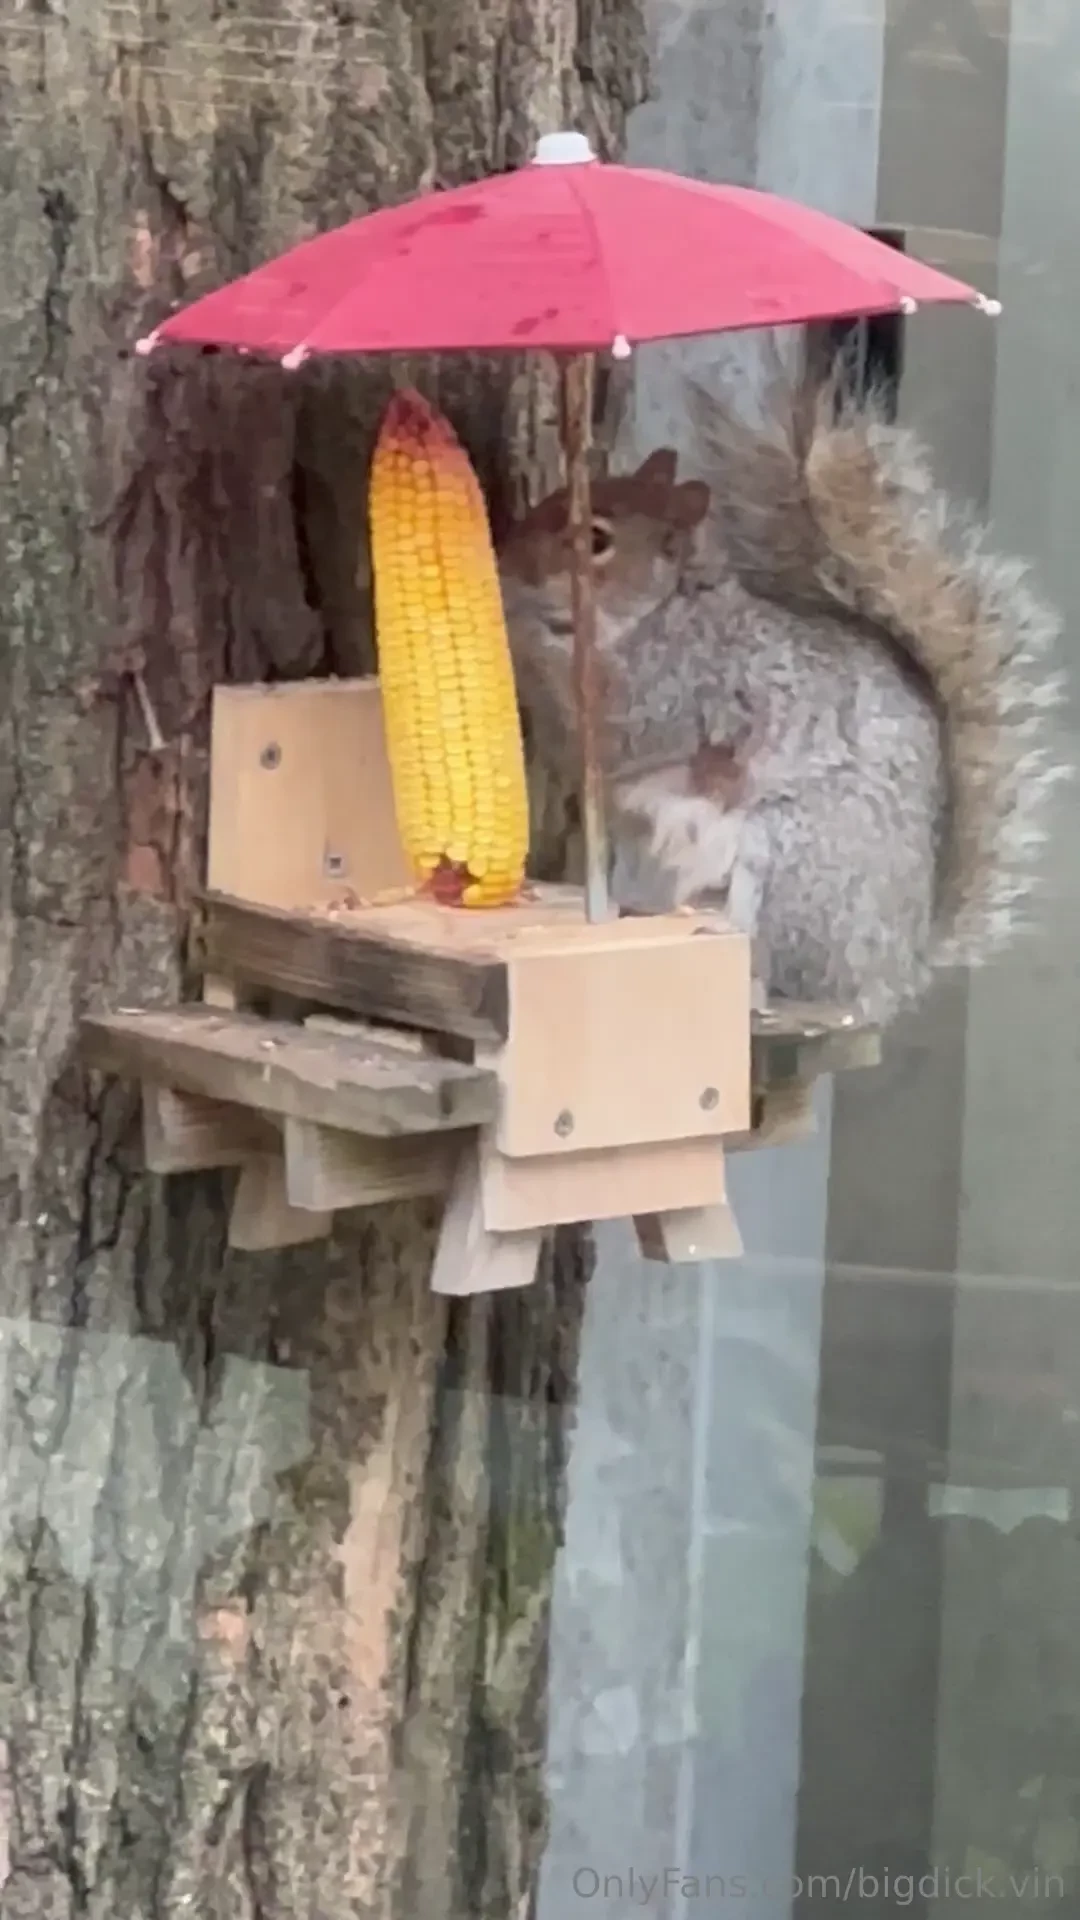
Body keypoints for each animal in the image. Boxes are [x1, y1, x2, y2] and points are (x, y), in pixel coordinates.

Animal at [497, 354, 1067, 1025]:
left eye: (594, 540)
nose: (505, 559)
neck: (658, 611)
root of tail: (898, 971)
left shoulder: (679, 687)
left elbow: (616, 726)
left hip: (796, 865)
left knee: (782, 977)